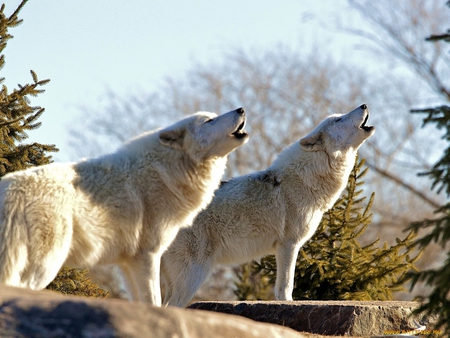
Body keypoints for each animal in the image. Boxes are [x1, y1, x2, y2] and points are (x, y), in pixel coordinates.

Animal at [0, 107, 248, 306]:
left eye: (214, 117)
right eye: (209, 121)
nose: (241, 109)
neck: (166, 171)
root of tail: (11, 192)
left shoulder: (127, 264)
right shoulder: (148, 256)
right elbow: (154, 301)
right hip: (46, 265)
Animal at [161, 103, 372, 306]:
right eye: (338, 119)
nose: (364, 105)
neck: (305, 179)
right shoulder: (288, 244)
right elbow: (286, 285)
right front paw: (288, 304)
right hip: (193, 275)